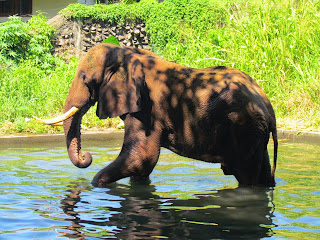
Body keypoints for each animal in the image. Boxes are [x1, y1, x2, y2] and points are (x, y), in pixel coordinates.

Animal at [36, 43, 278, 188]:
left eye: (85, 78)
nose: (87, 156)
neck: (125, 53)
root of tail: (269, 107)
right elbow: (141, 165)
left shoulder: (146, 108)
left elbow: (140, 157)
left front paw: (94, 185)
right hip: (254, 133)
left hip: (243, 128)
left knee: (247, 177)